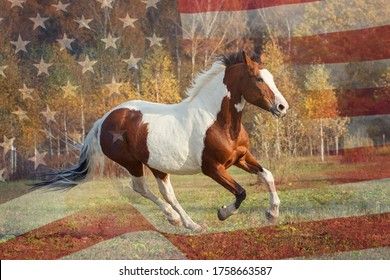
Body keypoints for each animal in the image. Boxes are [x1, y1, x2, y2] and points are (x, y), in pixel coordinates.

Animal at [34, 52, 290, 232]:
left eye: (271, 78)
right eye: (258, 79)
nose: (282, 107)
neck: (216, 120)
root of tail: (104, 119)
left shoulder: (240, 157)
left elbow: (267, 175)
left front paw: (272, 214)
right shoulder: (212, 168)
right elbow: (241, 192)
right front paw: (223, 213)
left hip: (157, 166)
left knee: (167, 194)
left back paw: (187, 223)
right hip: (132, 163)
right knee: (141, 188)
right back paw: (179, 220)